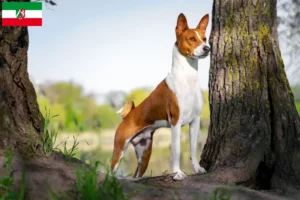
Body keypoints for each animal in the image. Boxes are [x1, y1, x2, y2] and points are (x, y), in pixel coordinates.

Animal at [110, 12, 211, 181]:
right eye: (192, 39)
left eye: (205, 38)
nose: (207, 48)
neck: (188, 78)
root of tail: (127, 116)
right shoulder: (176, 122)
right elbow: (176, 151)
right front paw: (177, 173)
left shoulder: (195, 120)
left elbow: (192, 149)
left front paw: (197, 169)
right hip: (119, 150)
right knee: (110, 170)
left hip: (144, 154)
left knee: (137, 175)